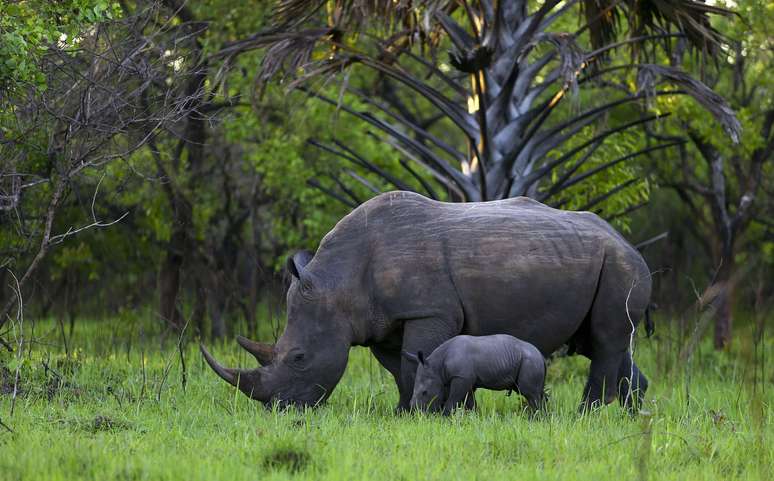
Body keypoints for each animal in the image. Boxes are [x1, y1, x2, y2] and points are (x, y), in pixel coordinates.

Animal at [406, 332, 544, 414]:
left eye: (425, 392)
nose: (415, 412)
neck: (437, 366)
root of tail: (541, 355)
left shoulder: (461, 377)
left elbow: (453, 399)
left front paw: (445, 417)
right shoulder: (465, 379)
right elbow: (470, 402)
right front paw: (474, 417)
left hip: (530, 360)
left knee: (529, 393)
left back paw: (535, 419)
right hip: (528, 360)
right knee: (535, 392)